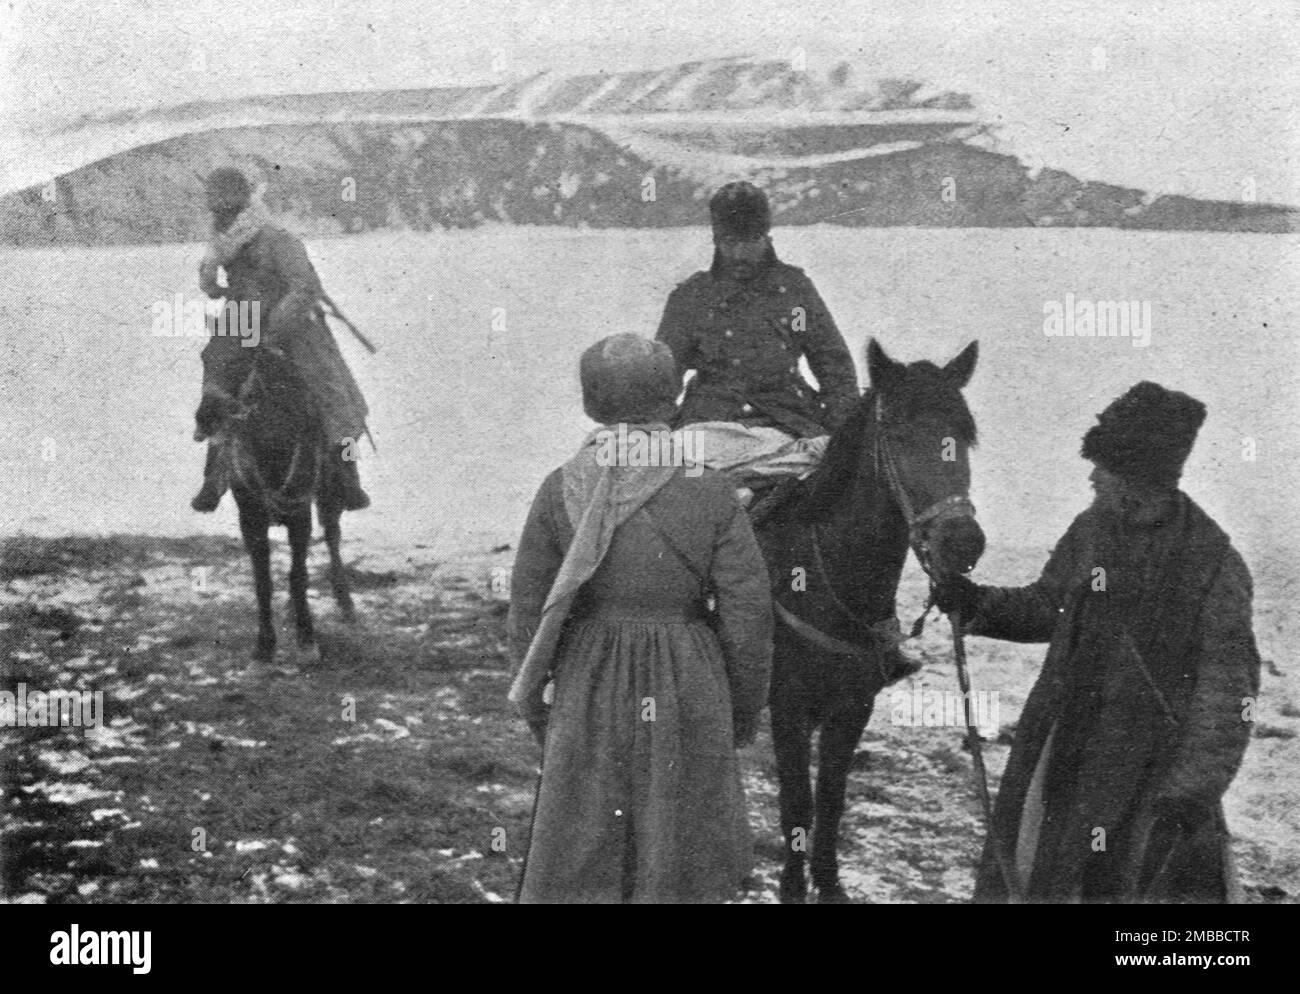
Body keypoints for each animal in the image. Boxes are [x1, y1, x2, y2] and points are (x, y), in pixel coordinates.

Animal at [192, 337, 356, 662]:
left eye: (242, 359)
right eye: (205, 357)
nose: (206, 418)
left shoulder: (300, 513)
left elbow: (298, 574)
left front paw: (307, 638)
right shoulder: (250, 516)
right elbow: (263, 580)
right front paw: (264, 645)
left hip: (329, 497)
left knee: (332, 537)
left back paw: (344, 602)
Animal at [754, 337, 982, 904]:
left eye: (965, 437)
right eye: (897, 434)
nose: (963, 543)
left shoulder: (852, 709)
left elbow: (832, 799)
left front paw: (830, 885)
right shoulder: (787, 707)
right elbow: (797, 803)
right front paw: (793, 887)